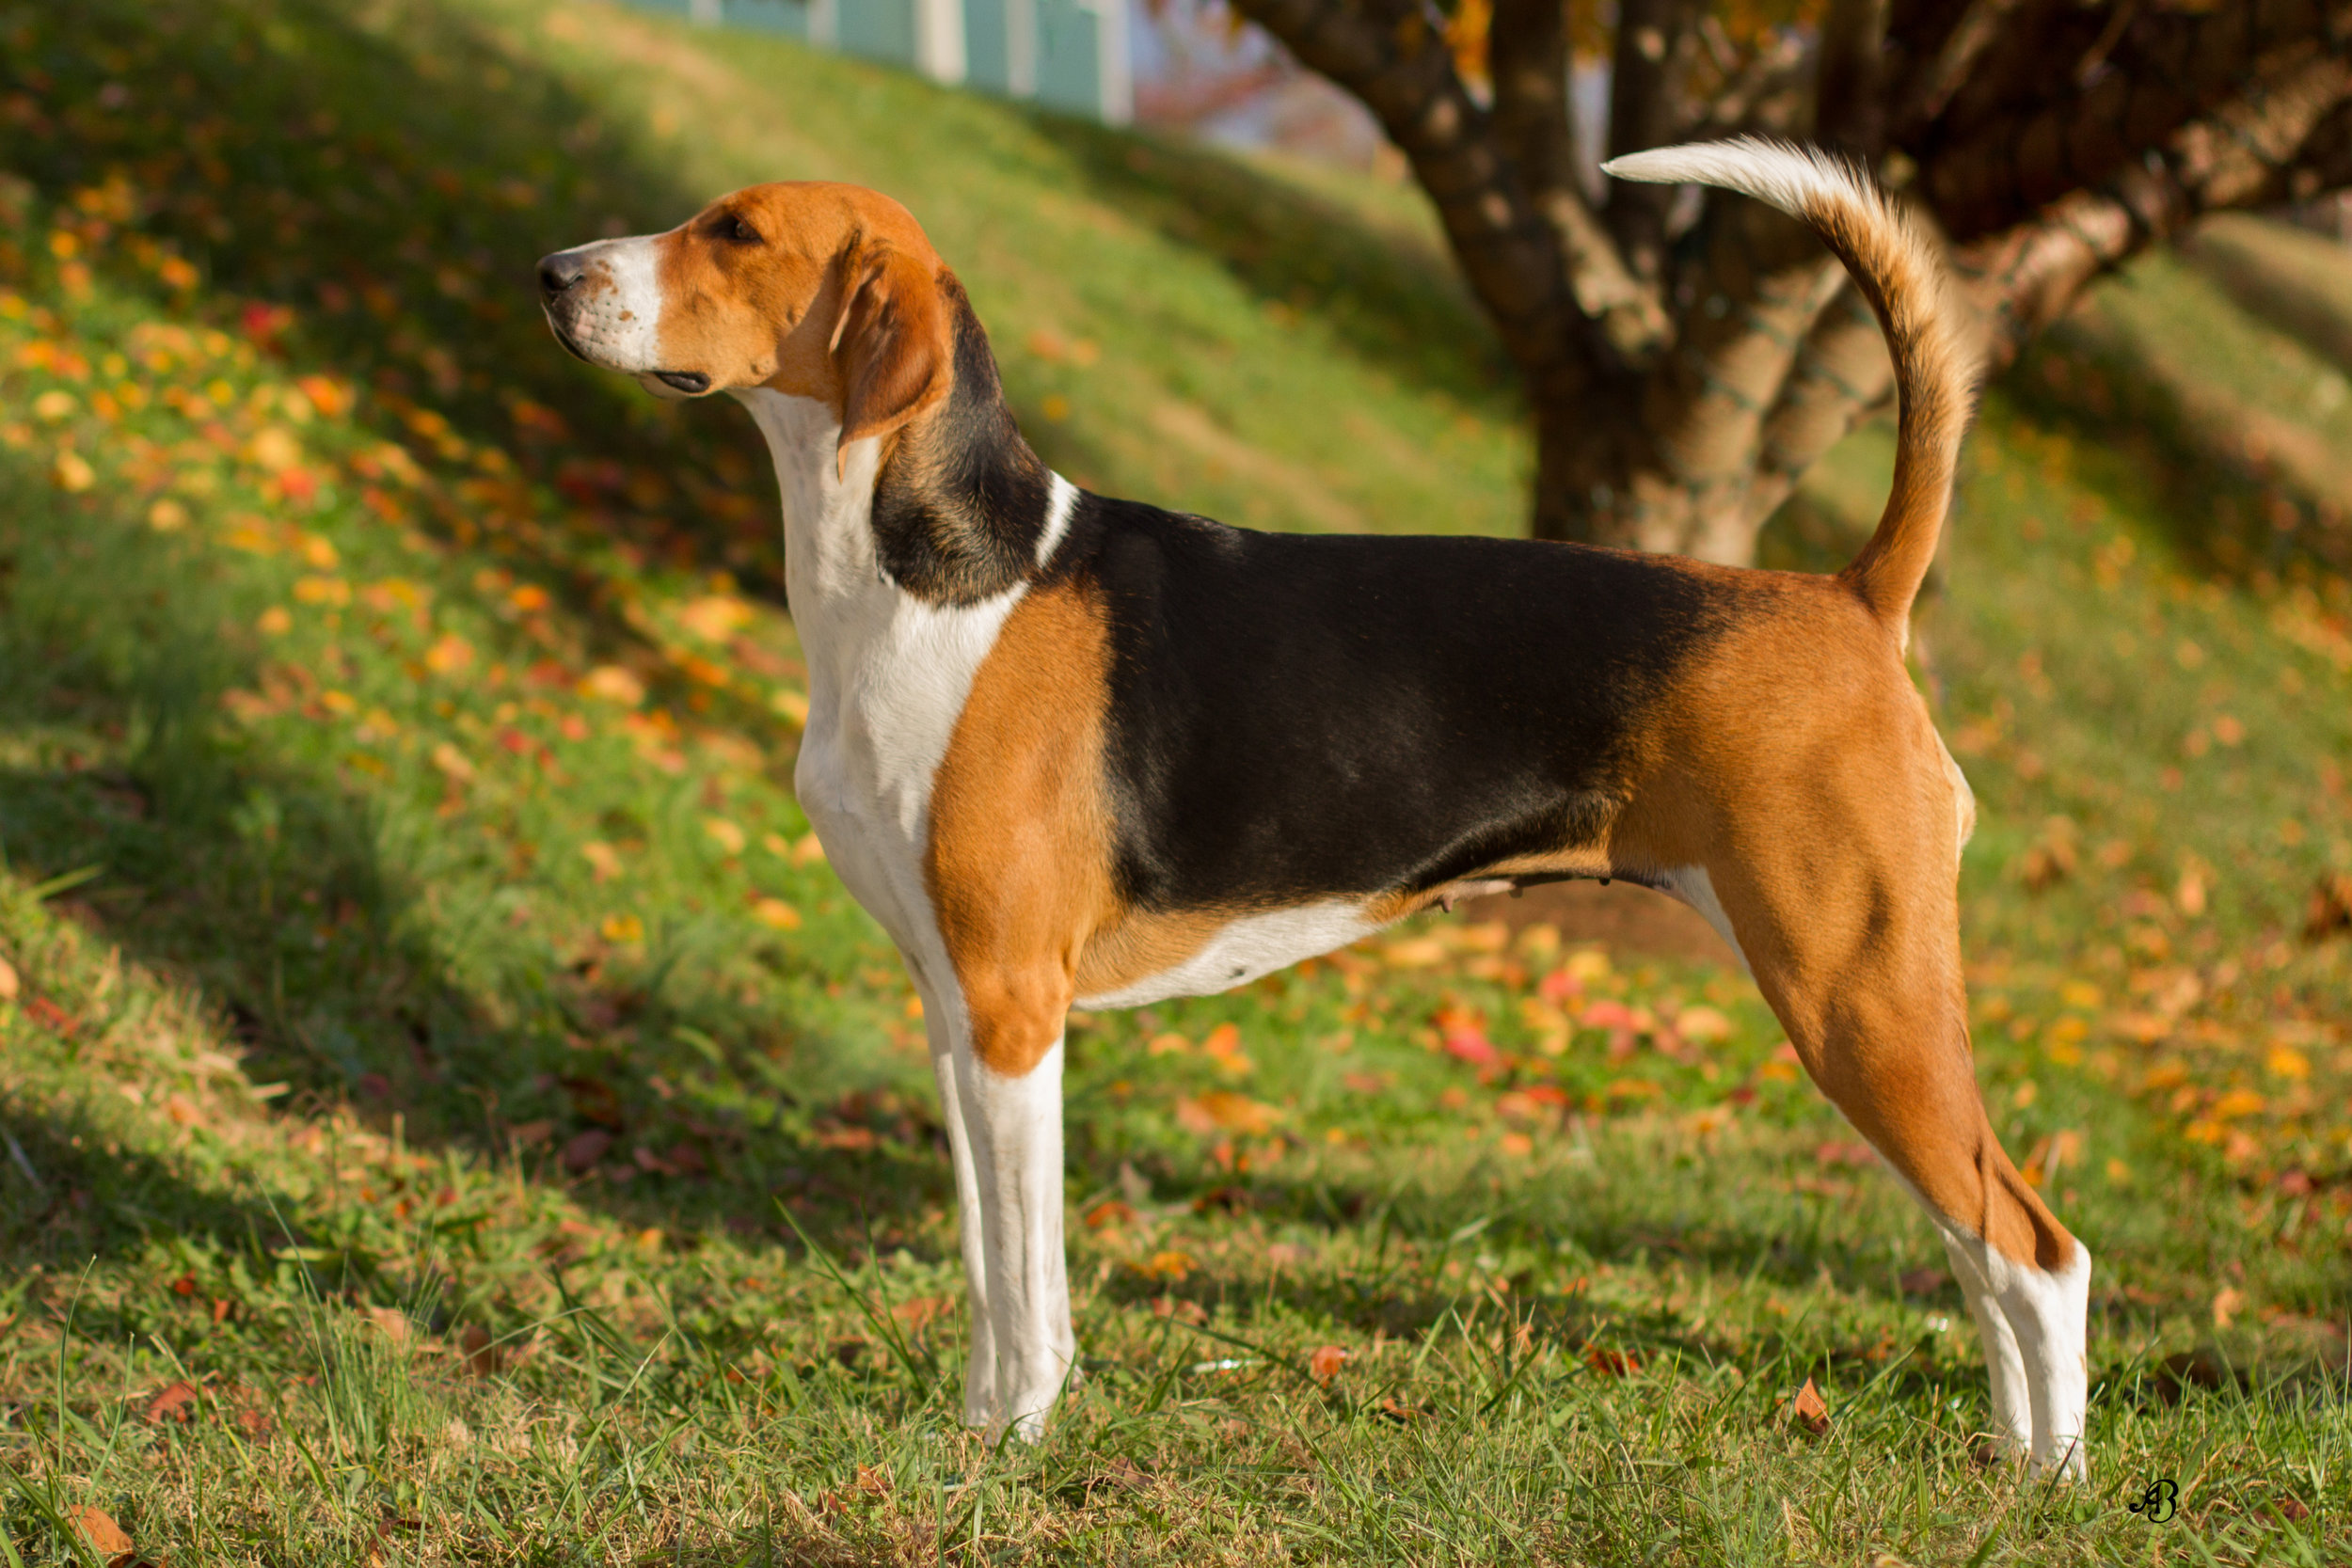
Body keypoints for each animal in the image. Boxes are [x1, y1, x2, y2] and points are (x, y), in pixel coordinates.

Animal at [546, 140, 2098, 1476]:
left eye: (735, 233)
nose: (553, 273)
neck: (937, 573)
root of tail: (1849, 594)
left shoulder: (1013, 1007)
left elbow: (1030, 1277)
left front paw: (1018, 1446)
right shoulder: (954, 1008)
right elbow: (989, 1261)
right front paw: (978, 1429)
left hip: (1854, 1000)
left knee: (2036, 1249)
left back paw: (2051, 1484)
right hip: (1873, 1014)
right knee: (1979, 1246)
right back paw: (2007, 1459)